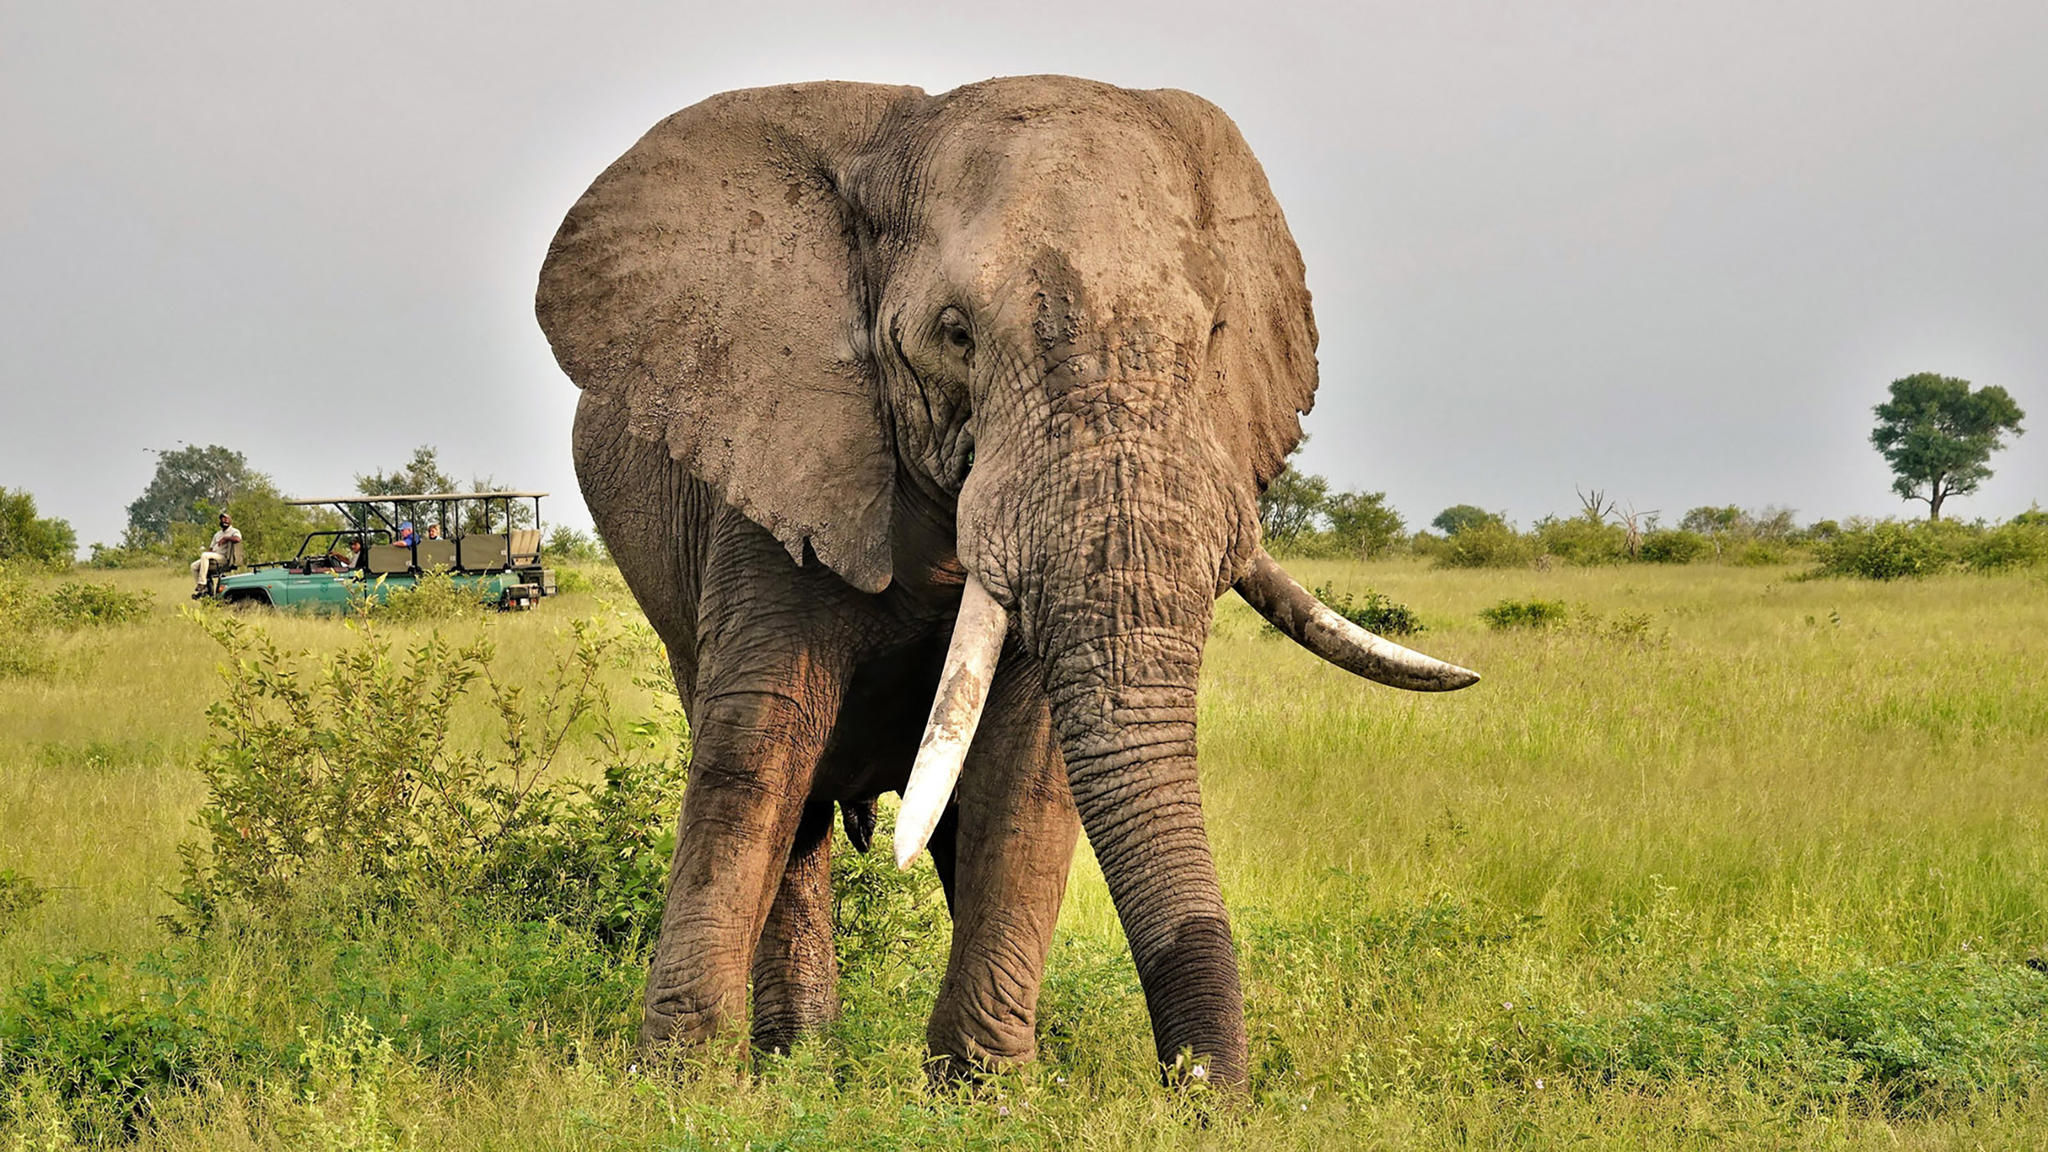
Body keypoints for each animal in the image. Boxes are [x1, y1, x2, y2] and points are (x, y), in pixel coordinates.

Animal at [535, 74, 1477, 1089]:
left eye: (1214, 336)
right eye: (955, 335)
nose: (1200, 1094)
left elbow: (1024, 776)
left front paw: (981, 1092)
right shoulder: (773, 468)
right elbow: (758, 746)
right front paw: (685, 1090)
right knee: (794, 795)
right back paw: (801, 1064)